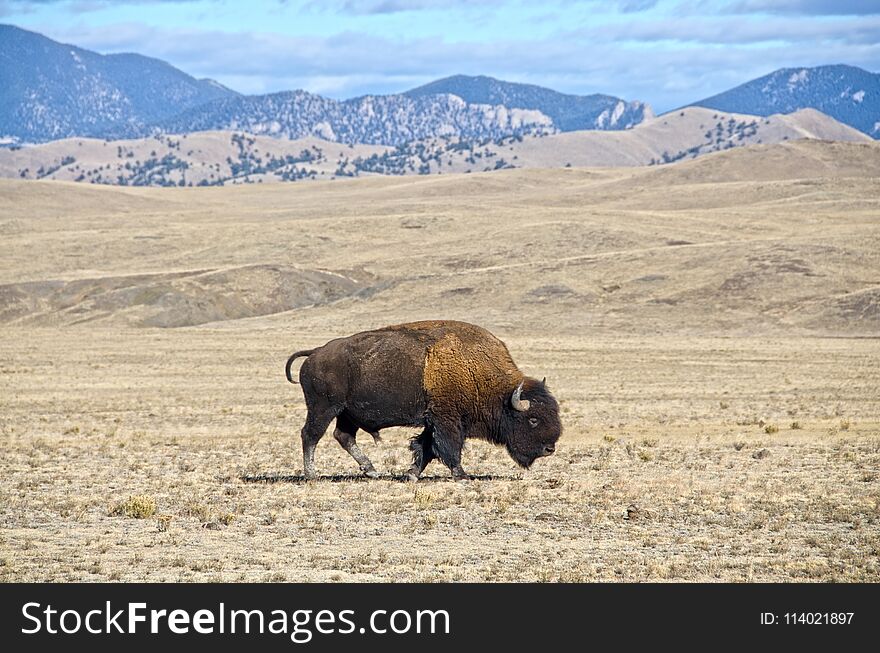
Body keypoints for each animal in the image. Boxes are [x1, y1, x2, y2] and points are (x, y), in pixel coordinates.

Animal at [286, 320, 560, 478]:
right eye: (533, 419)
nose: (549, 449)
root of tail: (315, 353)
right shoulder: (446, 419)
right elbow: (447, 447)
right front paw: (462, 474)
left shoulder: (433, 420)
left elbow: (425, 447)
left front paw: (412, 474)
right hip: (324, 408)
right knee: (311, 435)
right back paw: (311, 475)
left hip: (347, 413)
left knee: (343, 436)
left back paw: (372, 470)